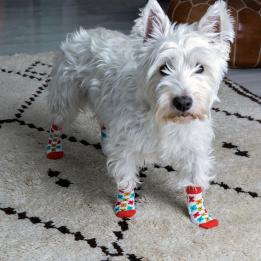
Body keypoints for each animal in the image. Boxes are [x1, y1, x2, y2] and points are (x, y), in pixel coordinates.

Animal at [46, 0, 234, 228]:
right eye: (163, 68)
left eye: (200, 68)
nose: (183, 102)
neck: (164, 117)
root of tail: (87, 31)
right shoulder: (127, 145)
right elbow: (126, 178)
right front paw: (125, 207)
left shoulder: (194, 147)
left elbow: (194, 182)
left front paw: (201, 216)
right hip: (66, 94)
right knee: (57, 121)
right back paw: (53, 149)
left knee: (104, 123)